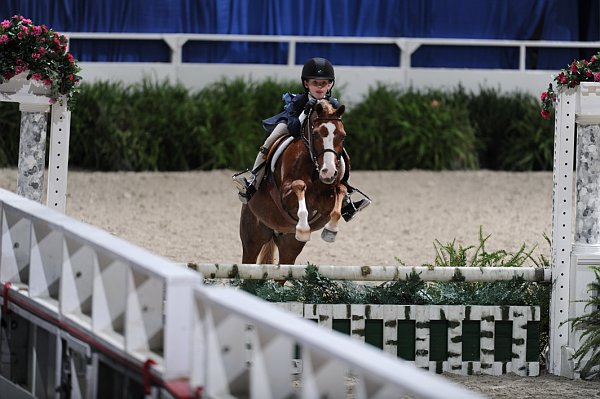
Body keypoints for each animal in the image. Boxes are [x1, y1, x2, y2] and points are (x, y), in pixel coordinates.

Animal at [240, 99, 346, 266]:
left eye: (343, 136)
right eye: (316, 134)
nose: (328, 172)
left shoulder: (325, 203)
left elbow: (340, 191)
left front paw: (331, 230)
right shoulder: (285, 196)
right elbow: (299, 185)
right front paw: (302, 229)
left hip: (289, 245)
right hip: (253, 238)